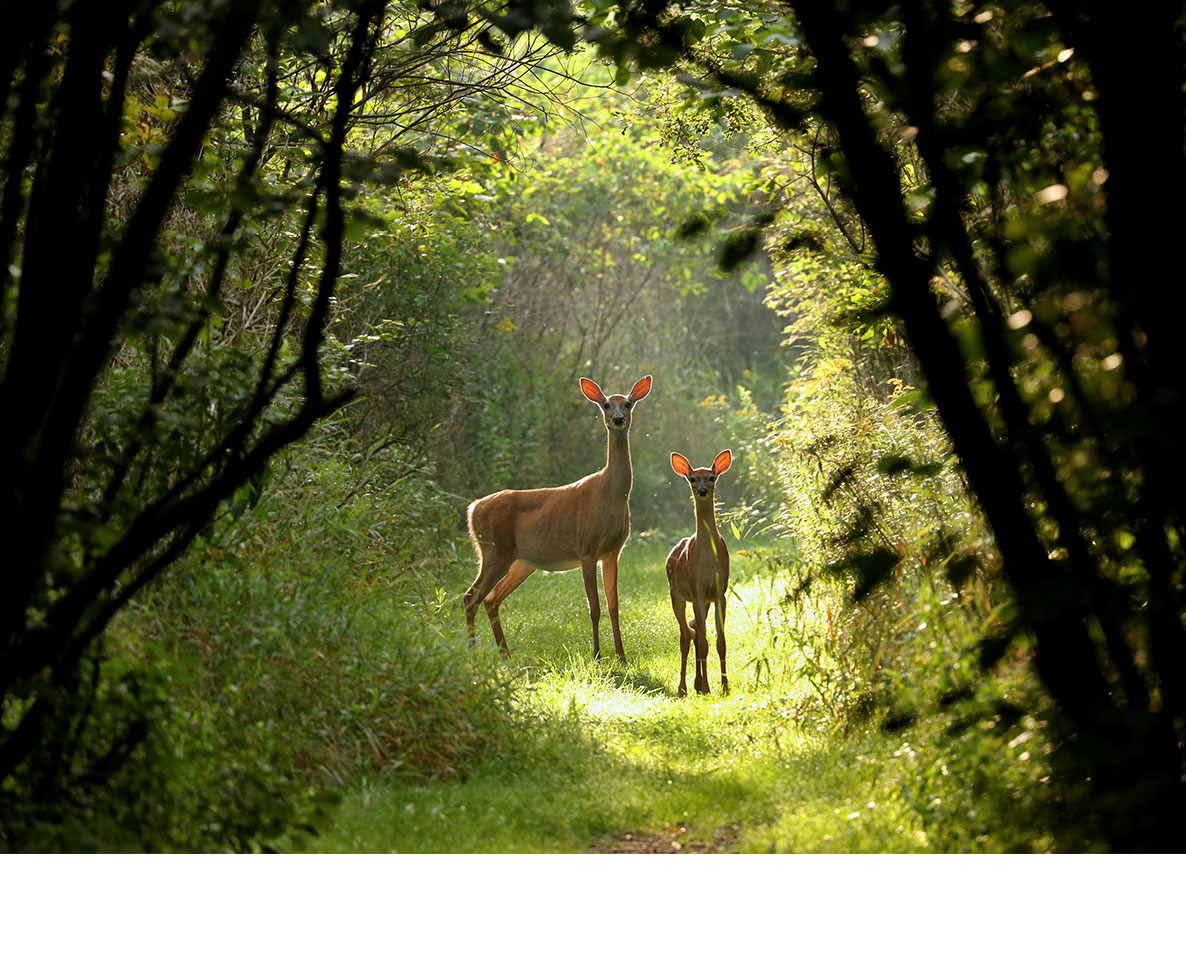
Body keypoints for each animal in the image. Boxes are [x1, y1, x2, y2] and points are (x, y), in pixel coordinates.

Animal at [462, 369, 654, 659]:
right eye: (606, 404)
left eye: (628, 403)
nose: (618, 419)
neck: (610, 496)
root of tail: (473, 509)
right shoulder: (587, 547)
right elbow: (594, 608)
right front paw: (597, 656)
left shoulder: (613, 551)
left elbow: (613, 606)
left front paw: (621, 656)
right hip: (494, 551)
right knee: (471, 597)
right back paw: (474, 654)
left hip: (521, 561)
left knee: (491, 598)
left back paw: (505, 655)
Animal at [668, 450, 730, 692]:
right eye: (693, 478)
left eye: (712, 477)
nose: (702, 490)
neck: (708, 561)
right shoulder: (697, 590)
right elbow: (703, 642)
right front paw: (708, 687)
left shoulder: (719, 592)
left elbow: (720, 642)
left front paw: (724, 686)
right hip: (676, 595)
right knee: (686, 636)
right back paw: (684, 689)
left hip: (703, 601)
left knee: (693, 634)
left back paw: (697, 684)